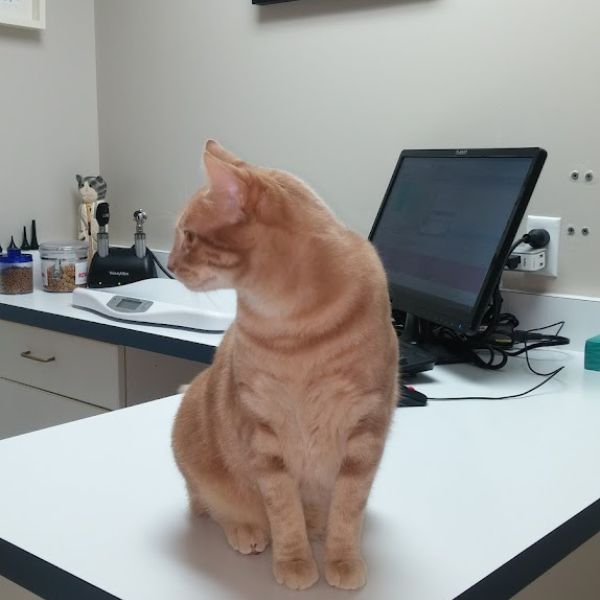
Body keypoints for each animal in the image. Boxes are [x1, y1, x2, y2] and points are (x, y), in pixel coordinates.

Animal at [170, 142, 398, 592]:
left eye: (187, 235)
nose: (167, 264)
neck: (293, 329)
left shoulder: (366, 429)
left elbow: (348, 507)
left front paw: (342, 557)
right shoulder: (263, 433)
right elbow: (282, 508)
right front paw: (294, 560)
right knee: (207, 504)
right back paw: (247, 529)